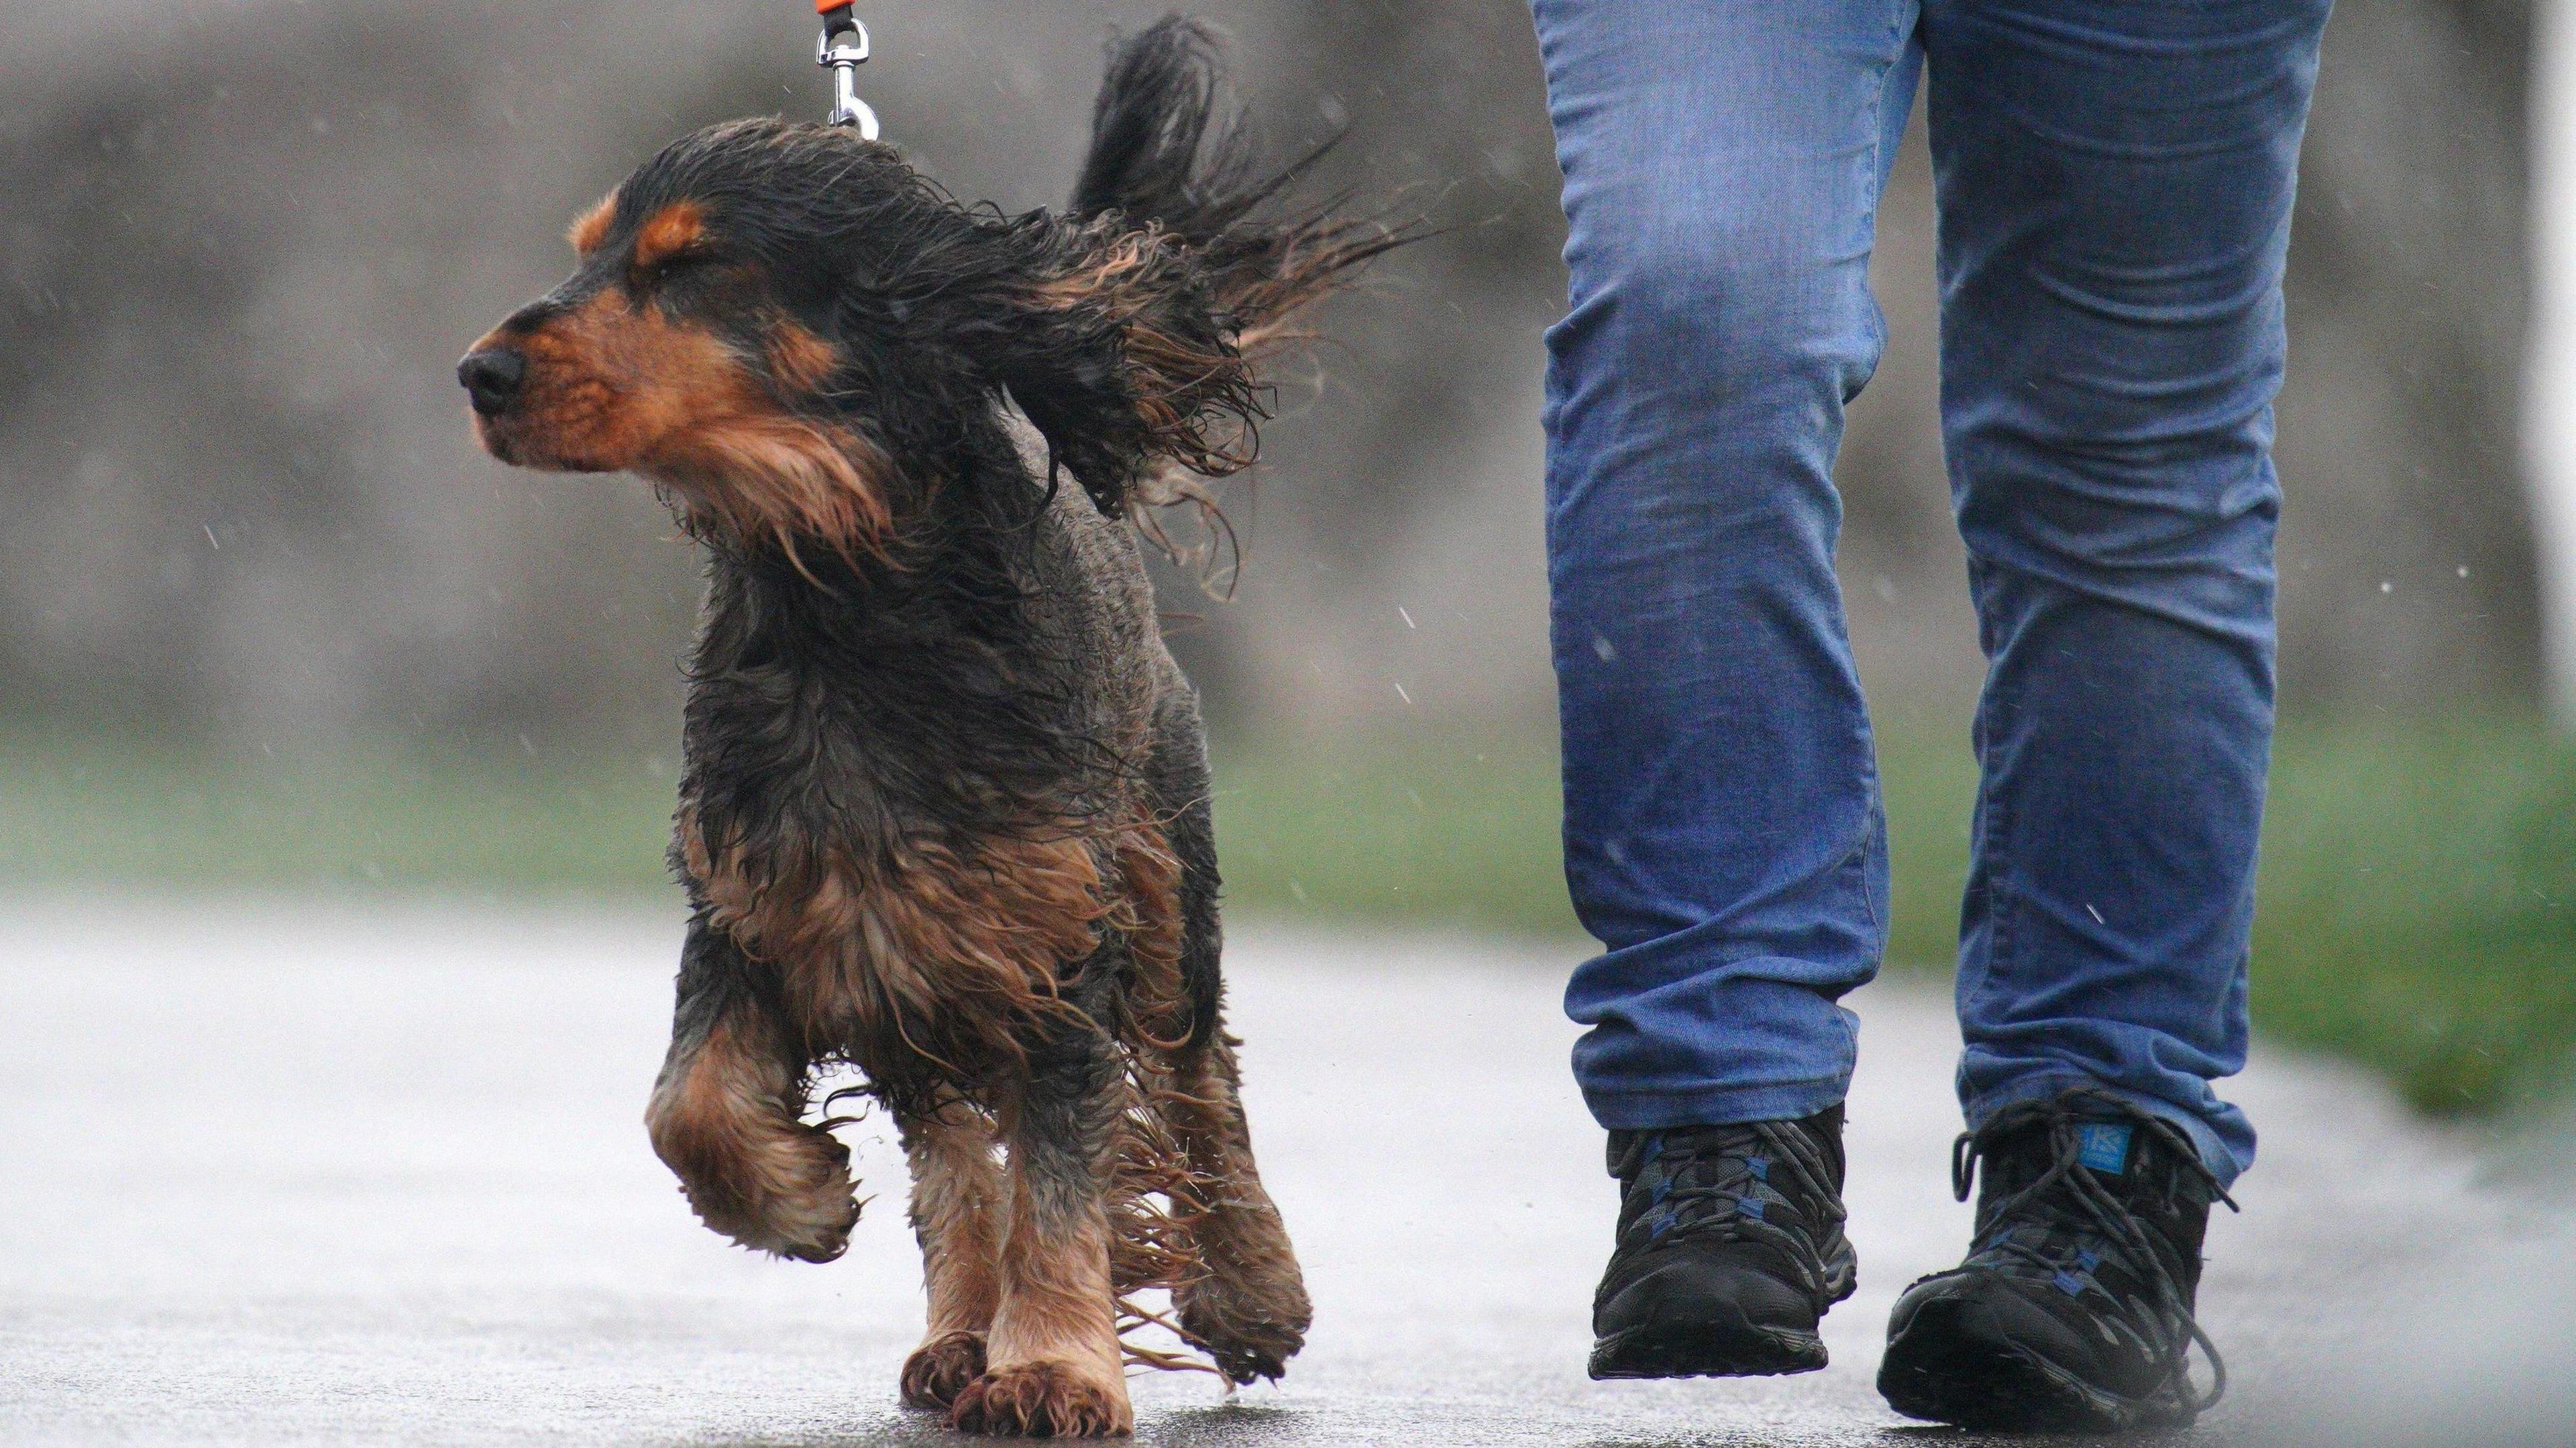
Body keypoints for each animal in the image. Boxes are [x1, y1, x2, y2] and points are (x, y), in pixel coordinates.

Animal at [453, 14, 1401, 1432]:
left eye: (690, 268)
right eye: (588, 256)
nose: (481, 372)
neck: (847, 596)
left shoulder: (1057, 936)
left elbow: (1067, 1167)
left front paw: (1058, 1362)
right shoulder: (760, 906)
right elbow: (690, 1102)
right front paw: (797, 1196)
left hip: (1165, 870)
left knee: (1199, 1074)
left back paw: (1249, 1287)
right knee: (952, 1145)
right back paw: (961, 1331)